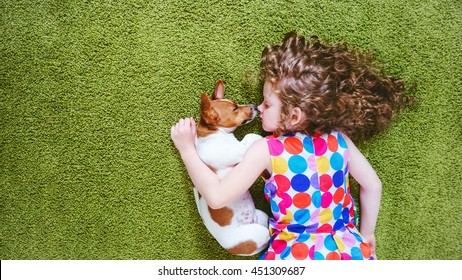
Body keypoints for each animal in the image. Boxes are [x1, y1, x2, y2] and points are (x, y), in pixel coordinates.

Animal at [192, 79, 268, 256]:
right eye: (234, 109)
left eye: (236, 103)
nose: (255, 106)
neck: (215, 133)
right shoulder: (239, 151)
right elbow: (251, 136)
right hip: (259, 232)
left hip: (262, 217)